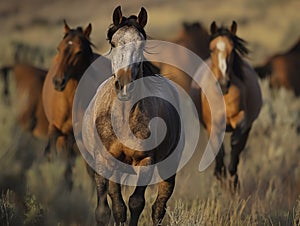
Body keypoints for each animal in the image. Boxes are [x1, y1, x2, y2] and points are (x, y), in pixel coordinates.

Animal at [84, 6, 183, 225]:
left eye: (141, 44)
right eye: (113, 43)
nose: (124, 85)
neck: (123, 118)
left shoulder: (145, 161)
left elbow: (136, 203)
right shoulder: (104, 161)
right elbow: (110, 208)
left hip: (168, 168)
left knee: (159, 207)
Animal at [197, 21, 260, 192]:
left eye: (232, 50)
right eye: (212, 49)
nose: (224, 83)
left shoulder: (243, 122)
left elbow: (235, 144)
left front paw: (233, 180)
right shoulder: (213, 126)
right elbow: (219, 153)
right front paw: (220, 177)